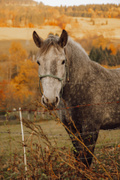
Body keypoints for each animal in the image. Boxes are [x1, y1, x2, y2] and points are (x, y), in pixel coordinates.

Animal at [32, 29, 120, 166]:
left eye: (63, 61)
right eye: (38, 62)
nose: (50, 100)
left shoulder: (91, 130)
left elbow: (86, 161)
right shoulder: (72, 130)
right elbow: (78, 158)